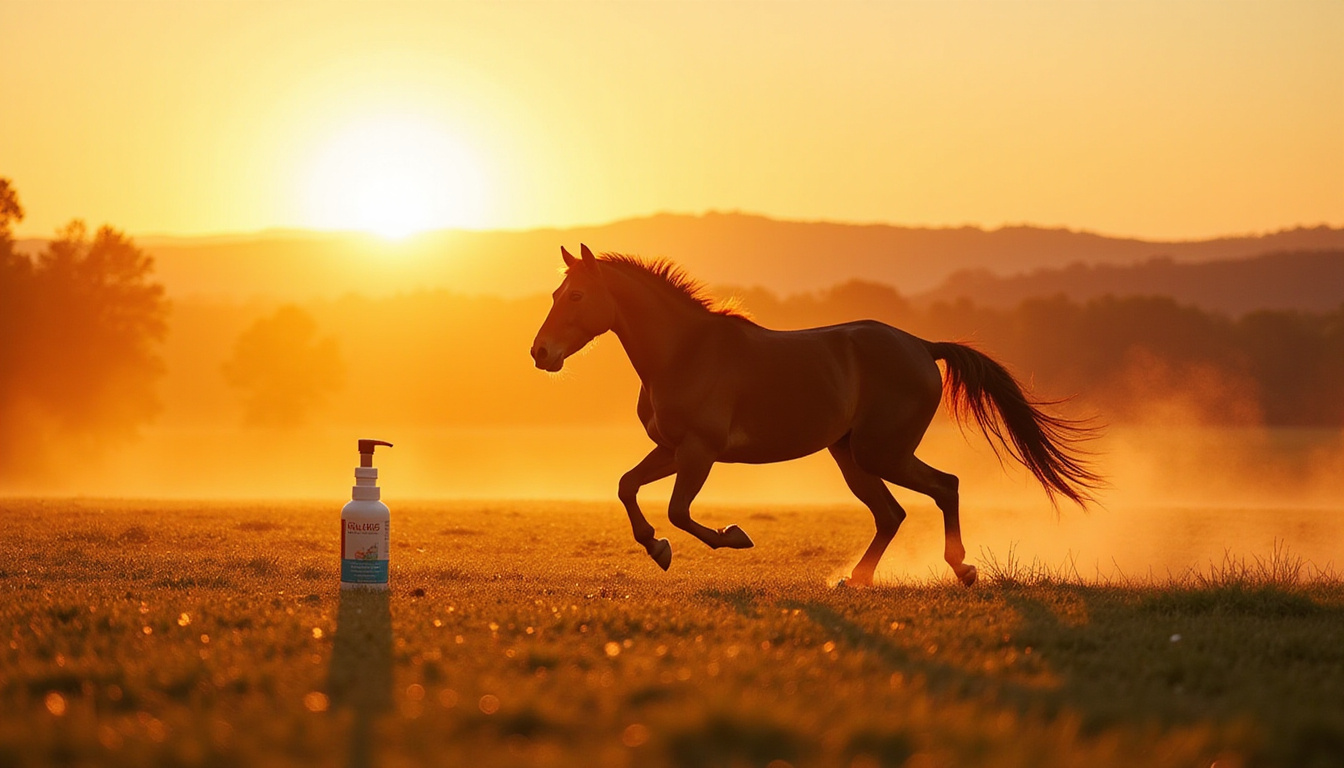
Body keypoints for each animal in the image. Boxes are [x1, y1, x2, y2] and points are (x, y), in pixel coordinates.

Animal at [530, 244, 1100, 586]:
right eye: (556, 292)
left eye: (576, 295)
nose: (540, 353)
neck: (684, 352)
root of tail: (920, 346)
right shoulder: (670, 449)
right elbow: (628, 487)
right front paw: (657, 548)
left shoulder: (699, 451)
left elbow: (678, 510)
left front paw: (730, 538)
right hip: (852, 456)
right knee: (892, 514)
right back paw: (858, 580)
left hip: (882, 452)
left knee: (945, 487)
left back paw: (961, 569)